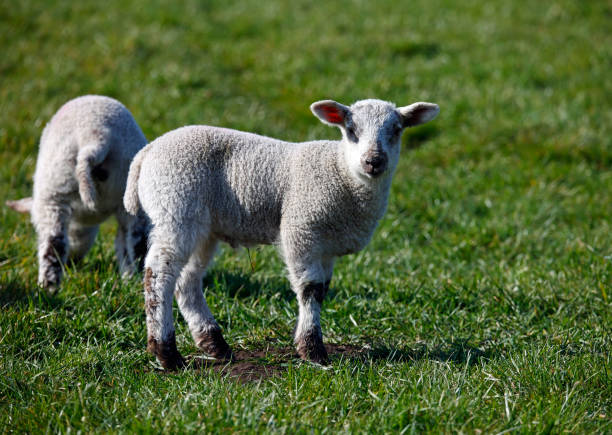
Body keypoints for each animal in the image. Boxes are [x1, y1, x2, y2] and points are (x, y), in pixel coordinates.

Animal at [8, 96, 151, 292]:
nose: (72, 263)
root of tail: (95, 137)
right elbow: (122, 247)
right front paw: (128, 279)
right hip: (128, 192)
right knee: (138, 245)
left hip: (54, 189)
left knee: (54, 244)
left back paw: (48, 288)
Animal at [125, 98, 440, 368]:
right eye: (351, 130)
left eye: (397, 130)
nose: (373, 161)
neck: (341, 172)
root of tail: (147, 153)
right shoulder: (301, 228)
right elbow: (310, 289)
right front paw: (313, 350)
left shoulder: (326, 244)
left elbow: (322, 290)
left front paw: (310, 343)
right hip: (176, 208)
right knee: (159, 274)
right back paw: (166, 353)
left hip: (202, 227)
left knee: (188, 280)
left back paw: (214, 344)